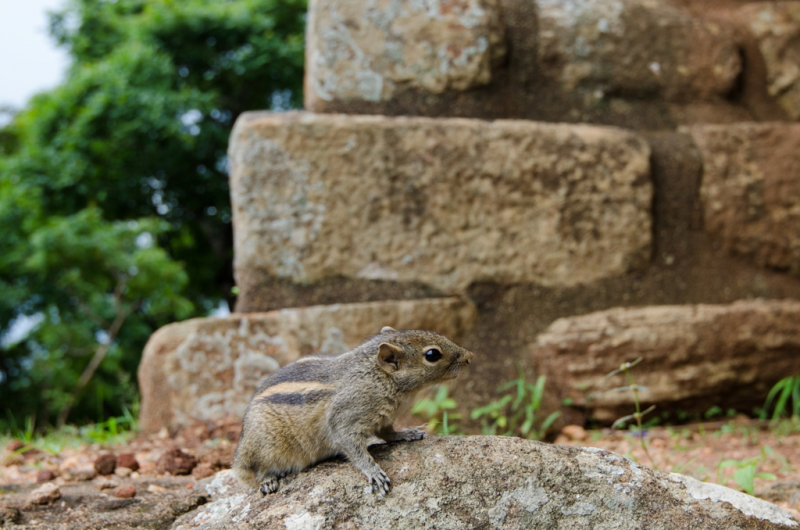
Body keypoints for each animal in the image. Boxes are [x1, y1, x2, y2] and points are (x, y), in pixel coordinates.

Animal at [231, 326, 472, 496]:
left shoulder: (385, 419)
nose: (470, 356)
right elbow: (353, 447)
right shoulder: (346, 418)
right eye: (432, 355)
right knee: (259, 470)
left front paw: (406, 433)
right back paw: (268, 480)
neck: (377, 377)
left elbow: (388, 433)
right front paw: (373, 471)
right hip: (267, 447)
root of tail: (242, 445)